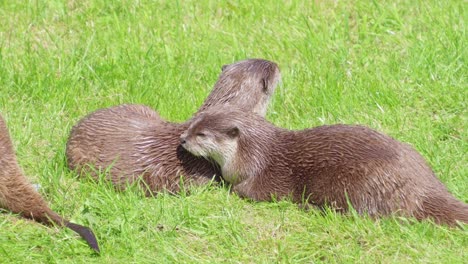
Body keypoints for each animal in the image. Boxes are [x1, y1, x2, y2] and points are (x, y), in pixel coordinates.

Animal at [180, 107, 468, 227]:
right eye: (193, 123)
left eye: (202, 134)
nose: (182, 139)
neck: (254, 155)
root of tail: (420, 188)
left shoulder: (267, 178)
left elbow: (243, 191)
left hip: (353, 183)